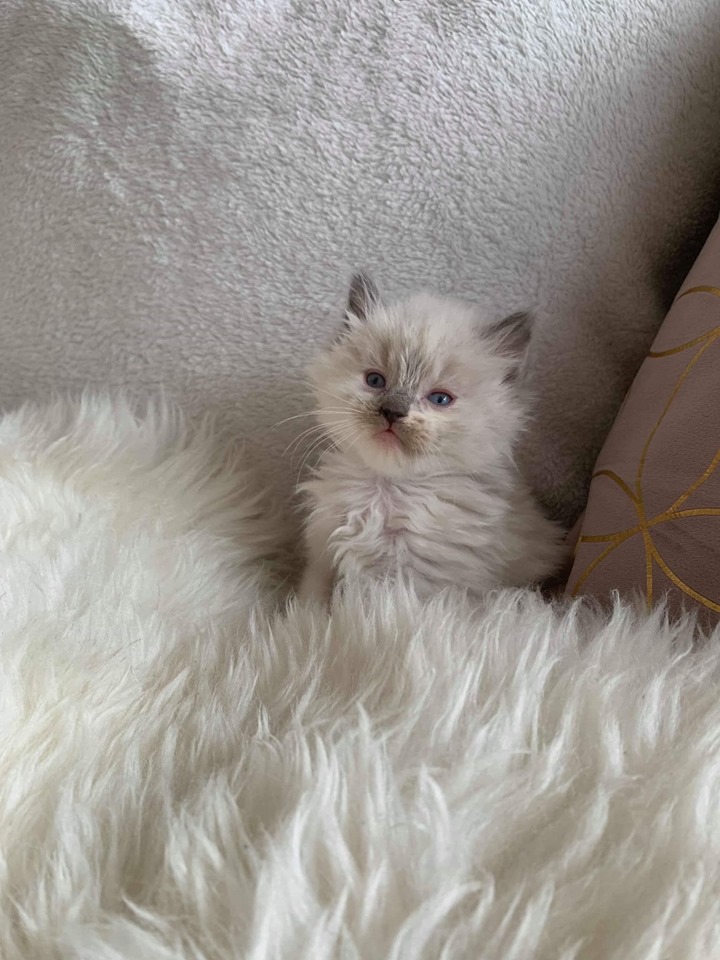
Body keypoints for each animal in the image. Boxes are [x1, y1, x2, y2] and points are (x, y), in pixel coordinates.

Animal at [297, 274, 565, 604]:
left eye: (440, 399)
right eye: (375, 380)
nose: (393, 412)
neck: (384, 494)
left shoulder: (422, 586)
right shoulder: (322, 561)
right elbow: (313, 606)